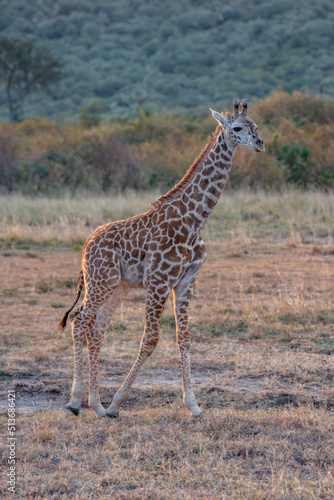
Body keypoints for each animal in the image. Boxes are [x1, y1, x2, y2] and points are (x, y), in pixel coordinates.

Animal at [59, 97, 264, 418]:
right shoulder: (158, 281)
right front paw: (118, 402)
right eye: (237, 128)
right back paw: (76, 401)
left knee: (96, 328)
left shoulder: (186, 281)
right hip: (100, 282)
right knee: (79, 320)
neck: (193, 222)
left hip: (118, 287)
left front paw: (194, 405)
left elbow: (185, 336)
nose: (259, 143)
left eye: (255, 125)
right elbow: (151, 339)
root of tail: (86, 246)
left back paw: (96, 405)